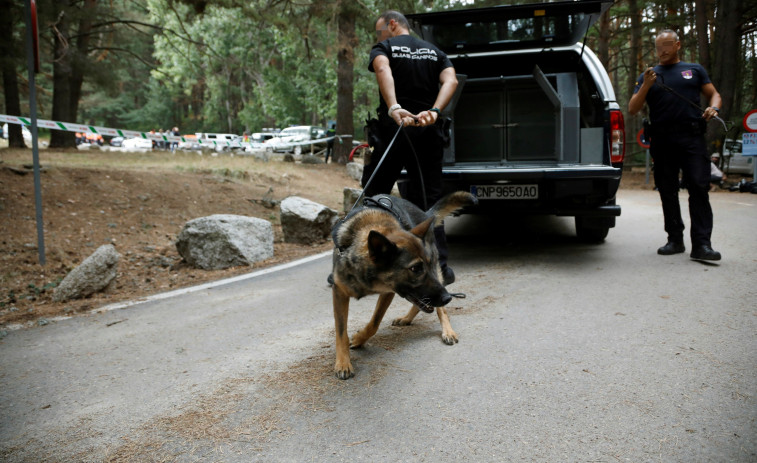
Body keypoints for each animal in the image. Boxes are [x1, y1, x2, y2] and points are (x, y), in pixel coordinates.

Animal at [330, 192, 472, 380]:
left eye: (426, 265)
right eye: (415, 269)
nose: (448, 298)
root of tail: (425, 214)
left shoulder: (388, 292)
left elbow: (374, 323)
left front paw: (359, 338)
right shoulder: (339, 292)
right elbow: (341, 332)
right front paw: (343, 362)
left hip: (437, 278)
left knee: (440, 309)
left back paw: (447, 331)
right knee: (422, 304)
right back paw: (407, 318)